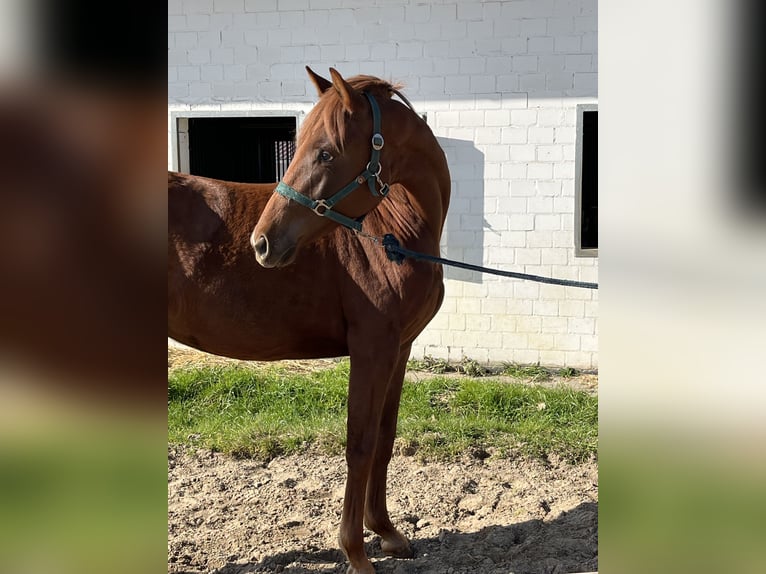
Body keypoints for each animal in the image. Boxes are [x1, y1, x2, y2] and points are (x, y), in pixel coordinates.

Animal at [170, 68, 450, 574]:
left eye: (325, 153)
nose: (262, 243)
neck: (393, 231)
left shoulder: (398, 349)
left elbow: (383, 438)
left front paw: (388, 533)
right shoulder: (371, 349)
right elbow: (359, 443)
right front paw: (356, 553)